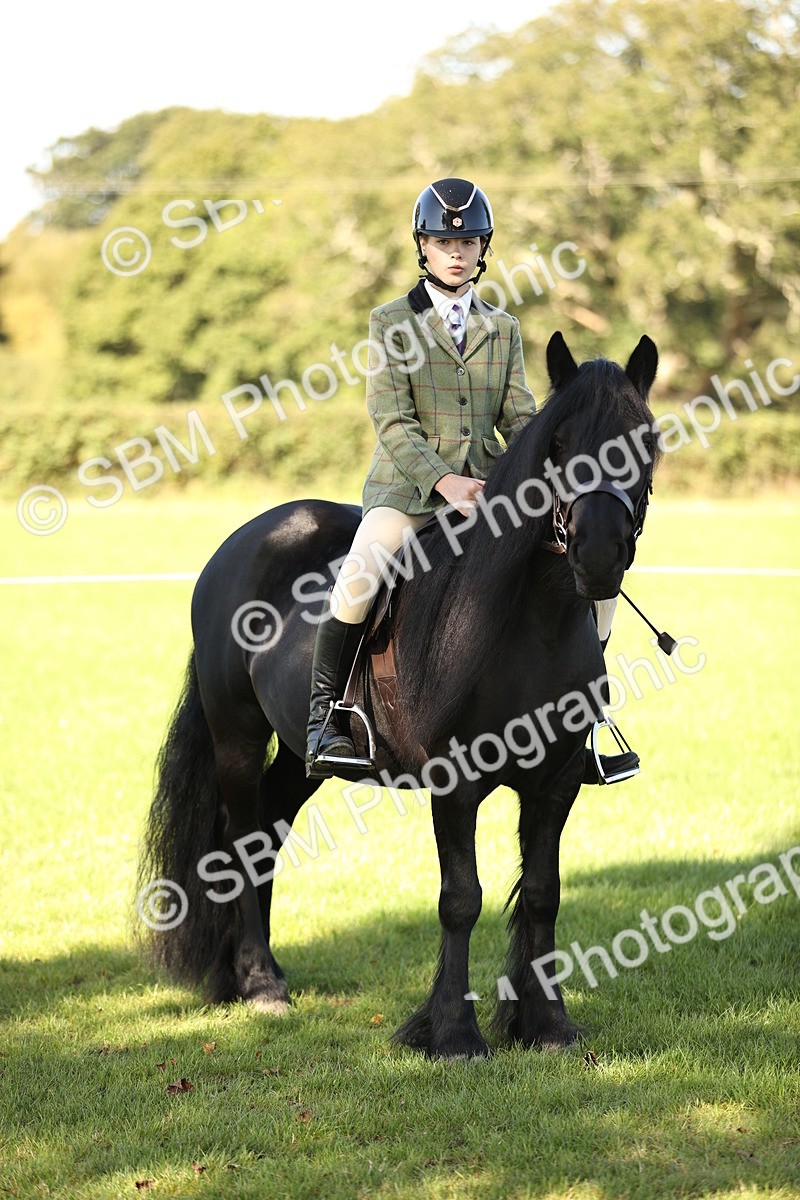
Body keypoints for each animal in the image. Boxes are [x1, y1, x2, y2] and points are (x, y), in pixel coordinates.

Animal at [137, 331, 661, 1059]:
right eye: (558, 443)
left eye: (647, 440)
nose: (600, 554)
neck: (529, 623)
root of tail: (244, 540)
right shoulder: (456, 782)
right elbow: (461, 898)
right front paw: (453, 1033)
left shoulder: (556, 783)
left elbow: (542, 894)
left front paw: (548, 1025)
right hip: (235, 734)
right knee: (240, 842)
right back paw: (261, 984)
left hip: (304, 758)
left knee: (268, 832)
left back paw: (255, 974)